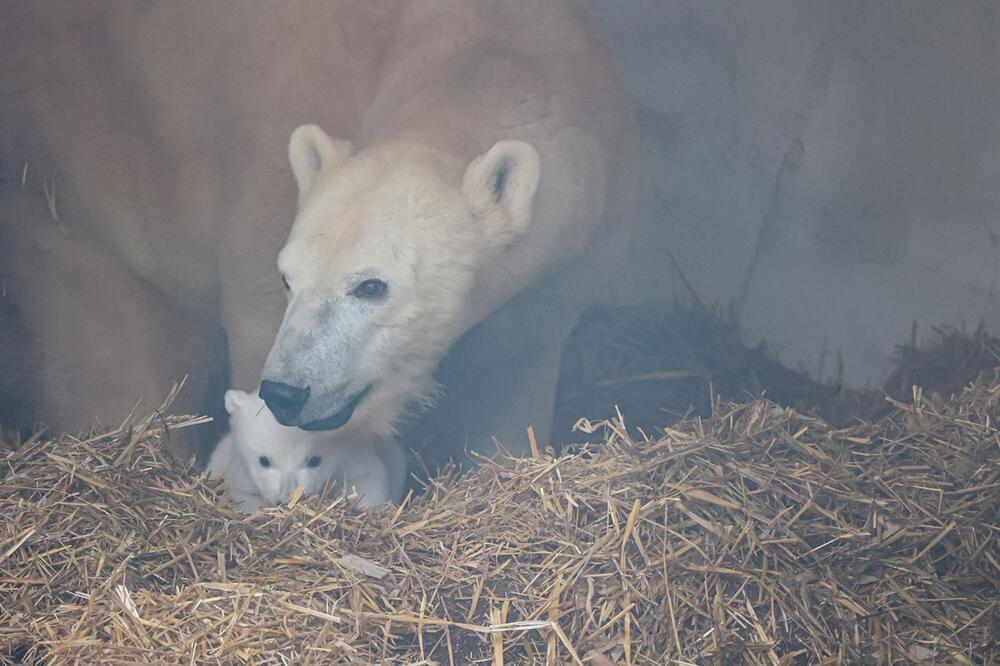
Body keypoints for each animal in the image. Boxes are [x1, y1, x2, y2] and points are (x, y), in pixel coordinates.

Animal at [1, 0, 632, 456]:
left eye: (372, 286)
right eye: (289, 279)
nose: (286, 392)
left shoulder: (564, 258)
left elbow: (508, 377)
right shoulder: (265, 162)